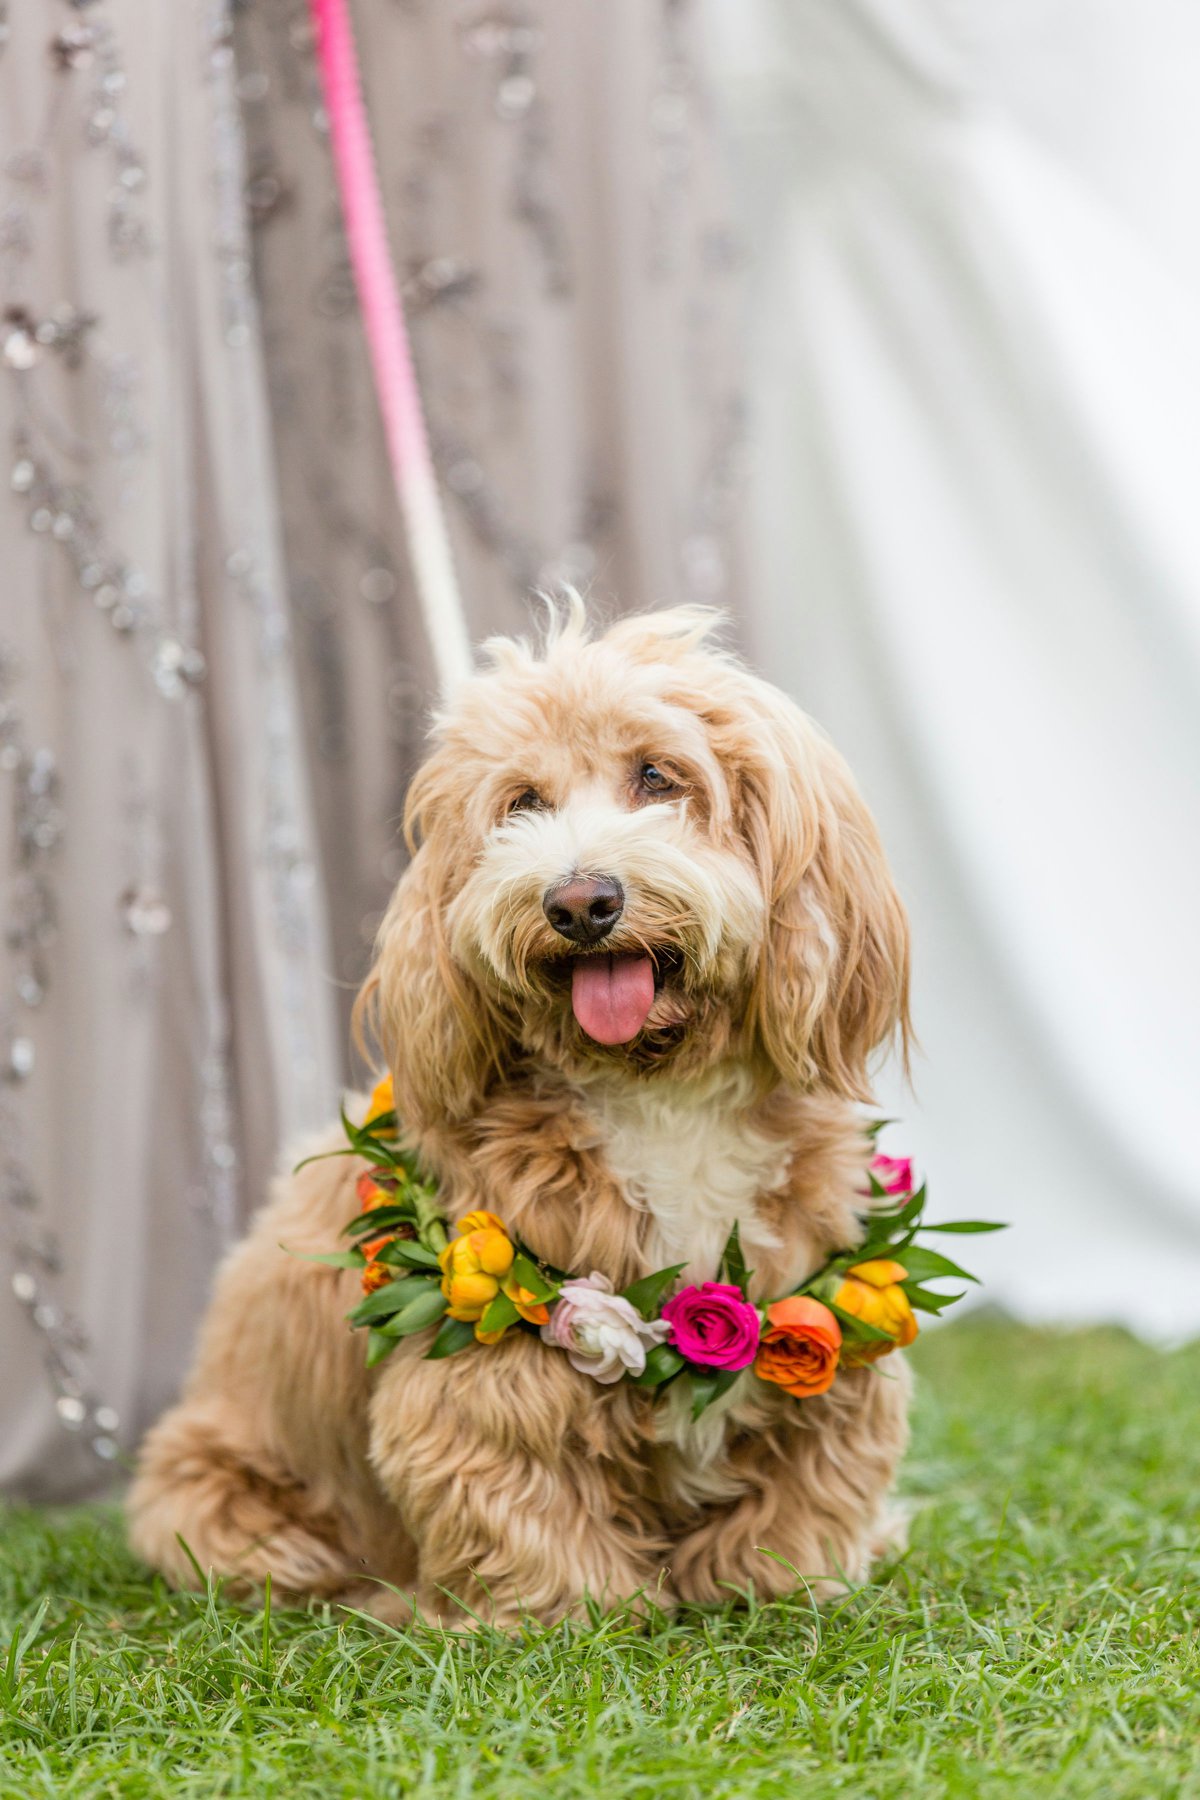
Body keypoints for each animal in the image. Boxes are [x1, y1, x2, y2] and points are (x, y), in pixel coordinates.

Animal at [126, 604, 910, 1634]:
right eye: (522, 802)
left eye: (658, 776)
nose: (580, 902)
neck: (660, 1091)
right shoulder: (491, 1362)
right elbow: (522, 1499)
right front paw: (568, 1615)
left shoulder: (819, 1327)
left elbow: (803, 1493)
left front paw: (780, 1581)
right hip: (222, 1502)